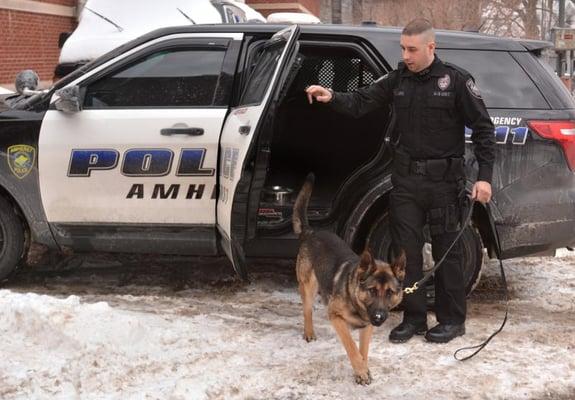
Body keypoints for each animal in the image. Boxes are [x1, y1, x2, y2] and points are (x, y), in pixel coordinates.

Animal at [294, 174, 408, 384]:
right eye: (372, 290)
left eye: (390, 292)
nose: (379, 317)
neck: (356, 299)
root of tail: (311, 232)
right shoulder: (336, 318)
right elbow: (352, 347)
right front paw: (361, 371)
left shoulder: (367, 327)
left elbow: (363, 350)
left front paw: (364, 368)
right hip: (308, 286)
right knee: (307, 311)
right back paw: (309, 333)